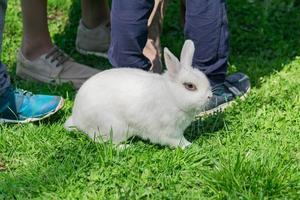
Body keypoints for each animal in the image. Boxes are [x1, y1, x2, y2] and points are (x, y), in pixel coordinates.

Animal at [64, 39, 212, 148]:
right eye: (190, 86)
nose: (210, 96)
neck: (172, 97)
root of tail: (77, 119)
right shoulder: (169, 132)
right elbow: (178, 141)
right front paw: (191, 146)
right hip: (113, 128)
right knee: (104, 142)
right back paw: (126, 148)